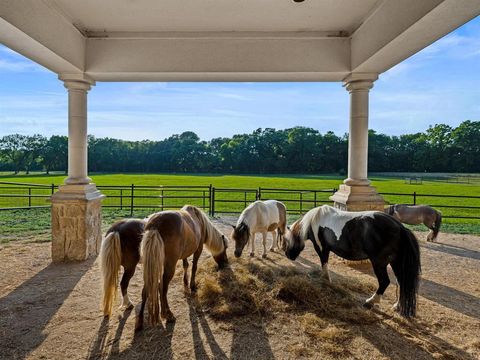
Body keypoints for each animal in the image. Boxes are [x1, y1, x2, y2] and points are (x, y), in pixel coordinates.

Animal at [284, 205, 422, 318]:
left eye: (287, 240)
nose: (288, 256)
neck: (314, 221)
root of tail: (400, 227)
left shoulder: (322, 248)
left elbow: (324, 263)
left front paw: (326, 279)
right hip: (395, 263)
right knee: (401, 281)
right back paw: (397, 306)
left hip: (379, 262)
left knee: (384, 282)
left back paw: (370, 302)